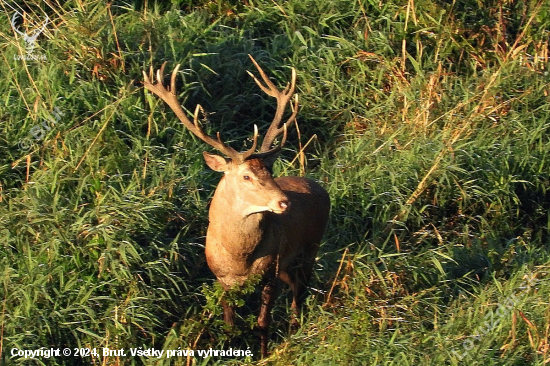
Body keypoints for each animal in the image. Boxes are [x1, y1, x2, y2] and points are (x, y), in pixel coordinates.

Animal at [143, 56, 332, 358]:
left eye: (269, 169)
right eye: (246, 176)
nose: (284, 201)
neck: (239, 258)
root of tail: (317, 185)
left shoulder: (269, 273)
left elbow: (262, 322)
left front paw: (263, 356)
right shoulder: (221, 279)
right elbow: (230, 322)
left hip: (311, 246)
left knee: (300, 292)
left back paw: (294, 327)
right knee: (295, 286)